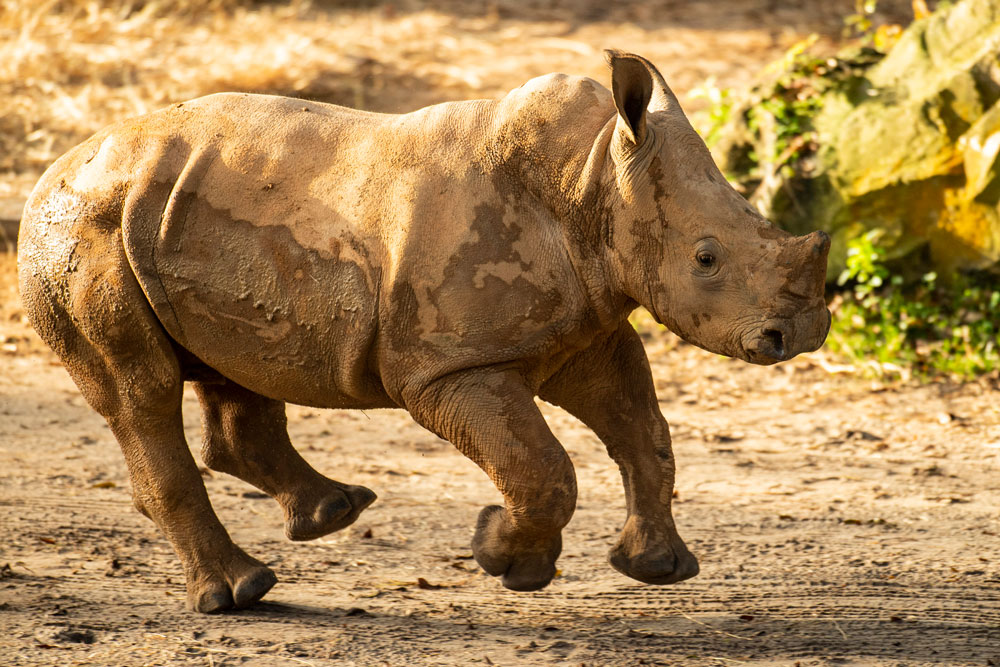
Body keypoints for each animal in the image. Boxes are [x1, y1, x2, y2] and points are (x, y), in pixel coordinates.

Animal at [15, 51, 832, 616]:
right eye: (706, 258)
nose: (800, 331)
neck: (591, 180)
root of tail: (47, 171)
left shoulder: (585, 331)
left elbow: (645, 434)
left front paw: (656, 567)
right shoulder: (449, 367)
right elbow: (542, 465)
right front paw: (506, 560)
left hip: (167, 220)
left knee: (231, 366)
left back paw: (332, 513)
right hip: (82, 230)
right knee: (141, 392)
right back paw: (240, 592)